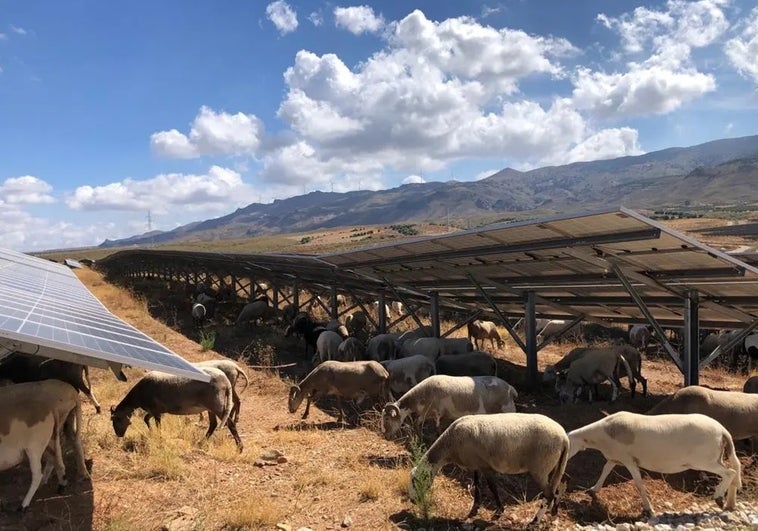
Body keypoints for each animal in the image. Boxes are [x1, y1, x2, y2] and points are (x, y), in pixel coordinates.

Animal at [0, 380, 90, 510]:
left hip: (34, 447)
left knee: (38, 472)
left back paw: (24, 505)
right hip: (51, 437)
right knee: (59, 454)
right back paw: (63, 483)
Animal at [108, 370, 240, 454]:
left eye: (116, 419)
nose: (119, 435)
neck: (138, 395)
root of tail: (226, 381)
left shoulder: (156, 410)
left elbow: (158, 424)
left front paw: (159, 437)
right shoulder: (156, 410)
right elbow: (146, 419)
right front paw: (151, 432)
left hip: (216, 404)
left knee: (230, 424)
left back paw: (240, 448)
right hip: (210, 407)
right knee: (213, 424)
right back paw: (201, 441)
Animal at [382, 372, 520, 438]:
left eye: (387, 418)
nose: (385, 436)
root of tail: (511, 388)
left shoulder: (437, 413)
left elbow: (437, 428)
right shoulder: (427, 413)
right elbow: (417, 424)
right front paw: (420, 438)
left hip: (508, 410)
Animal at [412, 412, 568, 524]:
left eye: (415, 481)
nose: (412, 501)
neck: (450, 446)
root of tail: (564, 438)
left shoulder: (486, 466)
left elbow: (492, 487)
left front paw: (499, 511)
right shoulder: (476, 464)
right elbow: (477, 485)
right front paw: (474, 509)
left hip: (540, 467)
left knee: (549, 494)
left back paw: (534, 521)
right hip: (555, 465)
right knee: (558, 487)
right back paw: (554, 513)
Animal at [568, 412, 744, 516]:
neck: (603, 434)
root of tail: (723, 431)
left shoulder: (629, 461)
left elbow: (639, 484)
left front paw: (648, 509)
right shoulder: (615, 458)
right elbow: (605, 470)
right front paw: (593, 489)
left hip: (704, 460)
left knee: (730, 473)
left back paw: (718, 496)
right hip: (715, 458)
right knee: (734, 472)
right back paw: (730, 504)